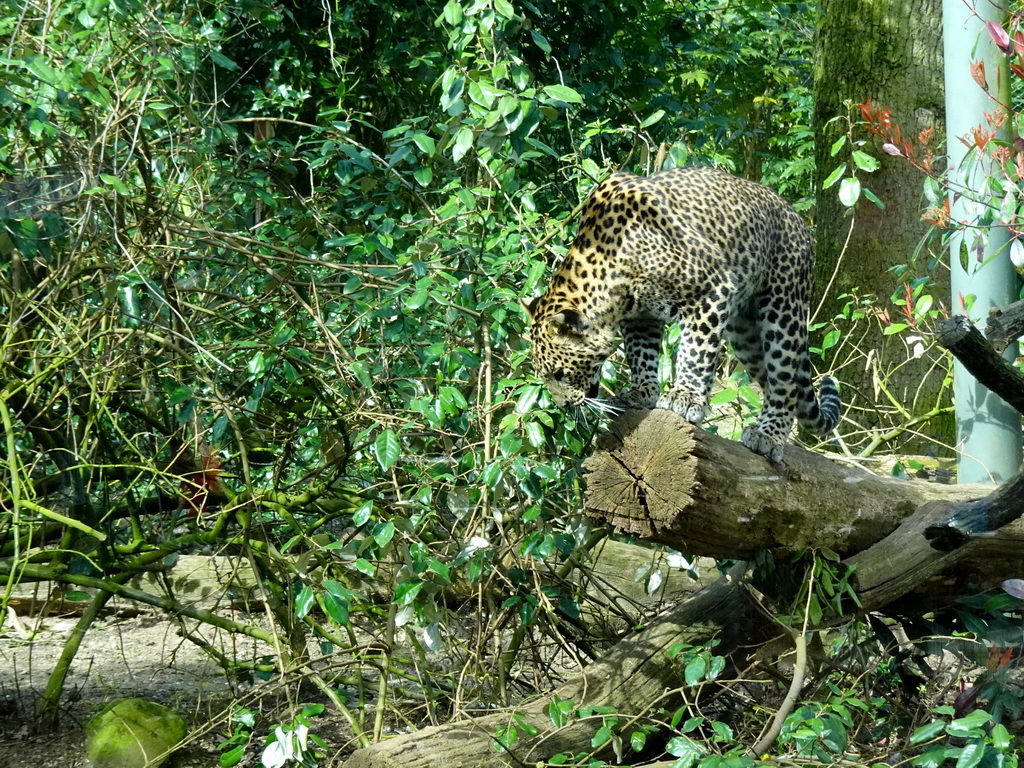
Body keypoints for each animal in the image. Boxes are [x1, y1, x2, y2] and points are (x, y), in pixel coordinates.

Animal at [520, 163, 839, 462]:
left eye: (560, 373)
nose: (563, 406)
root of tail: (795, 215)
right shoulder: (641, 317)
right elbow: (641, 354)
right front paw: (642, 393)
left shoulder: (712, 289)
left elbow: (696, 351)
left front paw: (685, 397)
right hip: (744, 334)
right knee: (771, 380)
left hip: (783, 308)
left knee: (785, 380)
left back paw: (769, 435)